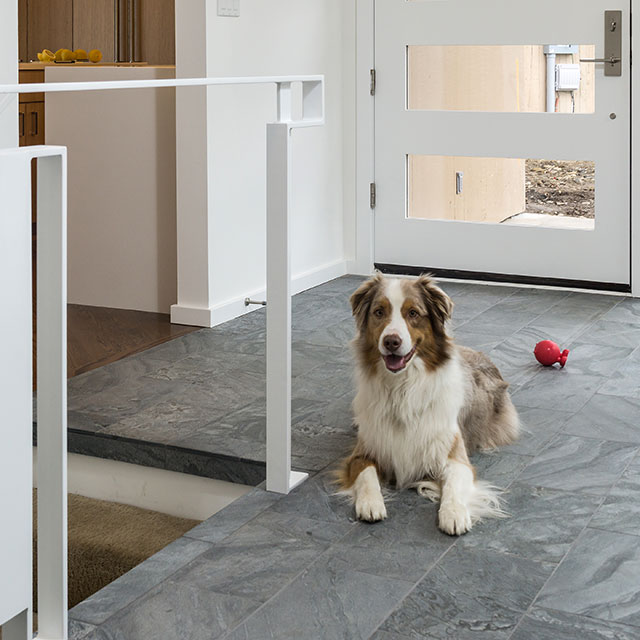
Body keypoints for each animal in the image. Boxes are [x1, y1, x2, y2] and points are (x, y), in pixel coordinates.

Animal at [340, 274, 520, 536]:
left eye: (413, 313)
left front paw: (454, 514)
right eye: (379, 312)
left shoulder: (456, 455)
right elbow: (366, 474)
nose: (391, 341)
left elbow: (454, 483)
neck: (402, 388)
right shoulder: (364, 450)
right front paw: (370, 503)